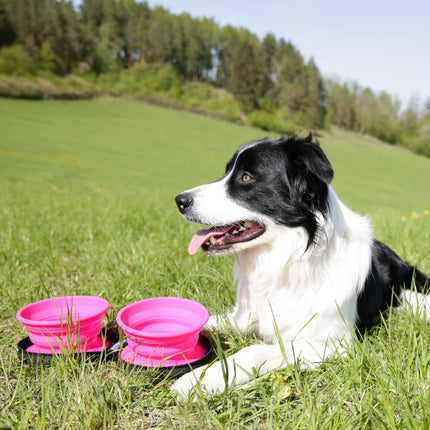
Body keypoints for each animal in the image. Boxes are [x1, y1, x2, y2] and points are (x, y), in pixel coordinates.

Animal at [171, 136, 426, 398]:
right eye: (227, 172)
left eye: (246, 177)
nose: (180, 200)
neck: (287, 260)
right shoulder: (245, 317)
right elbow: (209, 320)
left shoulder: (333, 343)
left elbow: (255, 350)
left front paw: (199, 381)